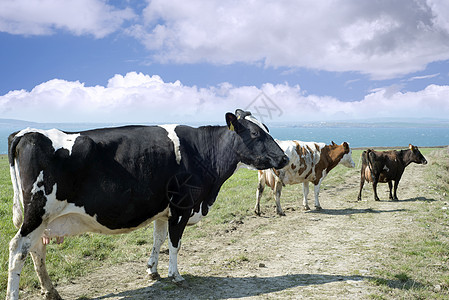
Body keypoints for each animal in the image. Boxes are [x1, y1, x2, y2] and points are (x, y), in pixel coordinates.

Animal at [6, 109, 288, 300]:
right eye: (255, 133)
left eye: (268, 129)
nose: (284, 158)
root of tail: (26, 133)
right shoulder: (182, 207)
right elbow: (175, 243)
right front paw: (175, 276)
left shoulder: (164, 210)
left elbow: (158, 239)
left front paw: (153, 270)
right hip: (37, 212)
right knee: (18, 249)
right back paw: (15, 294)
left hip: (42, 218)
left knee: (36, 250)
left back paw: (50, 290)